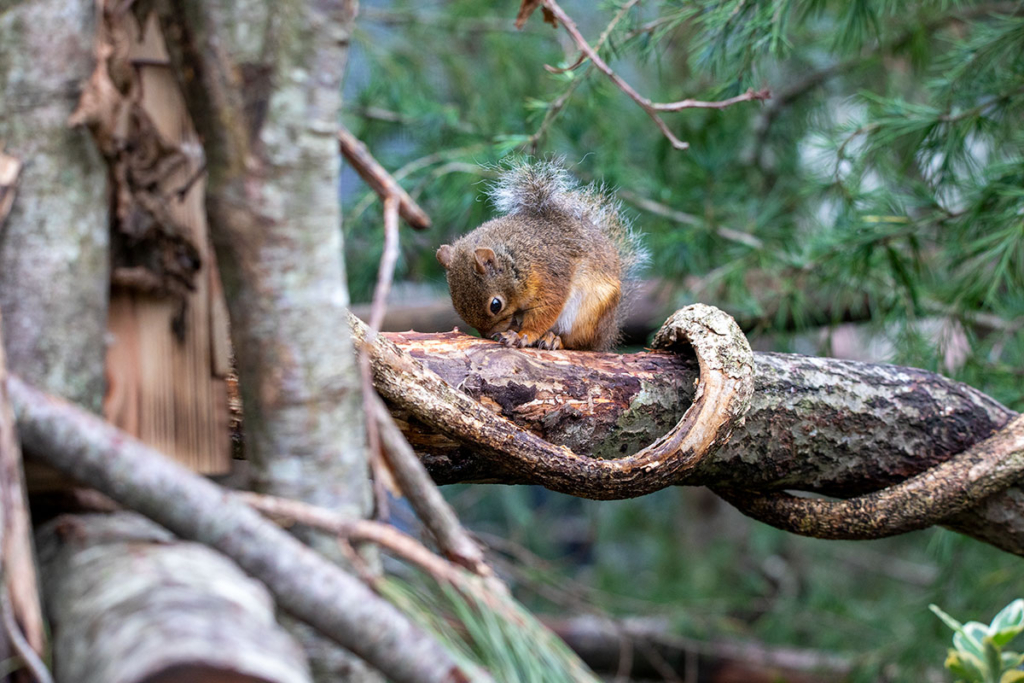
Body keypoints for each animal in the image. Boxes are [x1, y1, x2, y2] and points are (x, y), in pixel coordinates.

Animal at [434, 160, 643, 352]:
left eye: (495, 305)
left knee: (579, 344)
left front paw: (523, 335)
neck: (518, 257)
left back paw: (555, 339)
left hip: (589, 316)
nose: (487, 335)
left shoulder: (551, 276)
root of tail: (608, 334)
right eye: (455, 304)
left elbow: (545, 311)